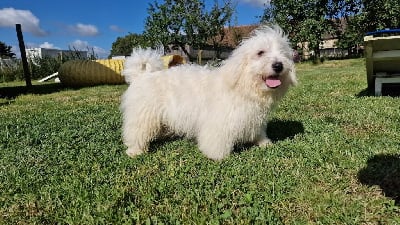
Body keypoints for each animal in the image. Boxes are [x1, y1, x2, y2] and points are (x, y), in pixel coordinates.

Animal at [120, 25, 296, 161]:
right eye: (260, 52)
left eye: (283, 53)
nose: (279, 65)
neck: (242, 86)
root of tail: (142, 75)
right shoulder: (219, 122)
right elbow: (217, 140)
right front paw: (219, 156)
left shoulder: (254, 118)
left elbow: (258, 131)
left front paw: (264, 142)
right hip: (143, 115)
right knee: (135, 132)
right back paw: (135, 151)